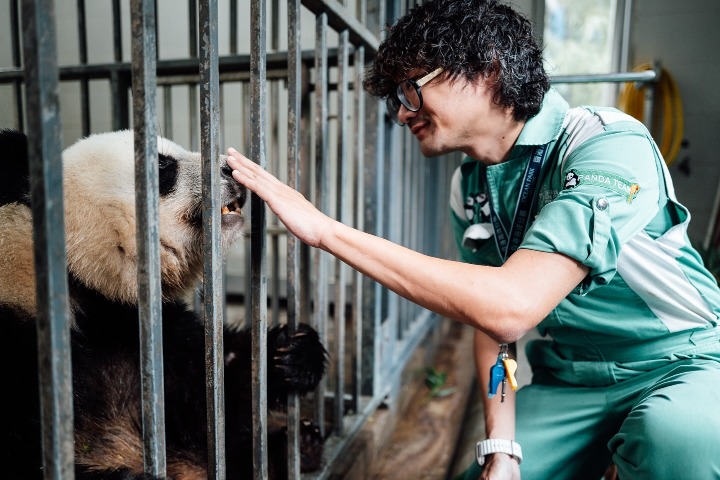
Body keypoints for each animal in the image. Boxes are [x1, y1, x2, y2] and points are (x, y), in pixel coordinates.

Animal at [0, 129, 326, 480]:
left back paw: (297, 445)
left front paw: (291, 353)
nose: (229, 168)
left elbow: (209, 386)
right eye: (161, 166)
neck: (80, 279)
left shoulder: (136, 324)